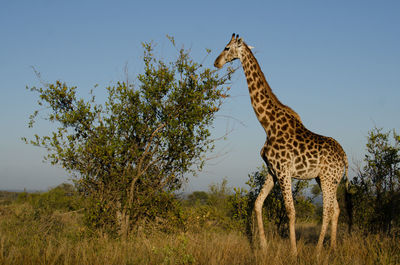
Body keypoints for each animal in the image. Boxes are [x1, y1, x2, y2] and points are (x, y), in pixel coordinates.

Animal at [214, 33, 348, 254]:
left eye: (226, 48)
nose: (216, 62)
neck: (267, 124)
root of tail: (345, 157)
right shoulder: (273, 171)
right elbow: (257, 204)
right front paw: (263, 247)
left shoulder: (284, 171)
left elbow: (290, 211)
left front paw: (293, 252)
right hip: (326, 179)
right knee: (336, 209)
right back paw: (333, 247)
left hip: (328, 179)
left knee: (327, 210)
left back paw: (318, 250)